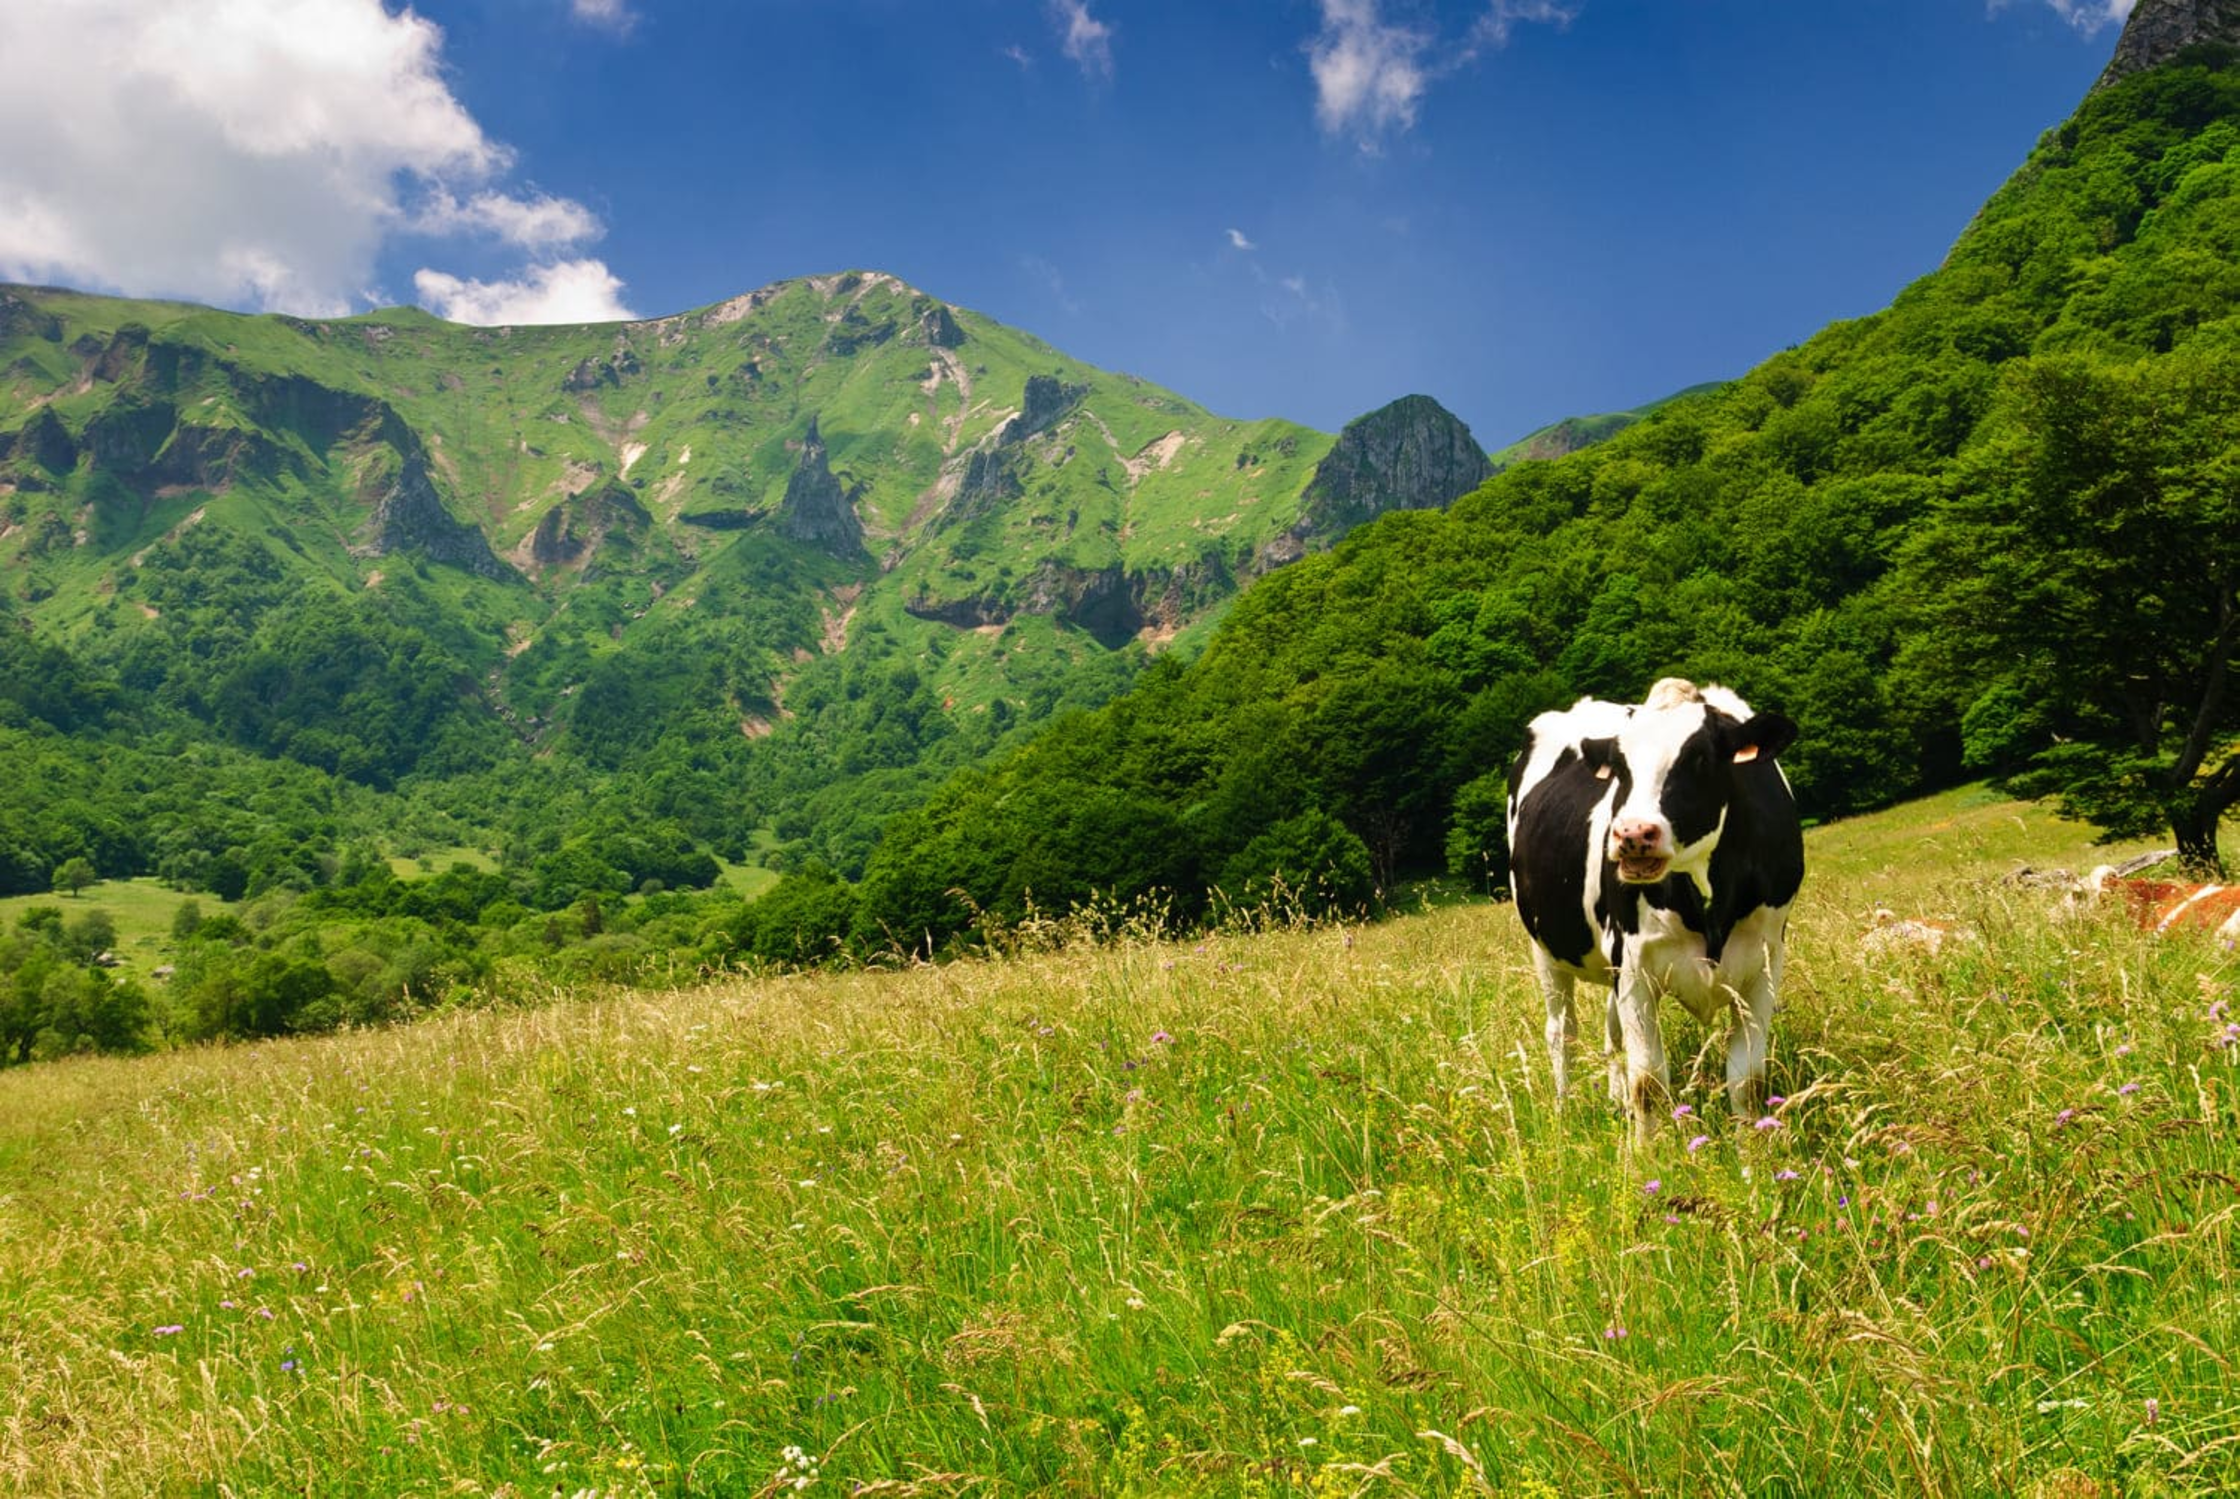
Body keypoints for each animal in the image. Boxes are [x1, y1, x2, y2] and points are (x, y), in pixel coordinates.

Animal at [1505, 672, 1800, 1138]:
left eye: (1700, 758)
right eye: (1621, 768)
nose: (1632, 834)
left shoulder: (1766, 962)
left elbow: (1747, 1080)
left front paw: (1750, 1145)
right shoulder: (1635, 965)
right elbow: (1648, 1082)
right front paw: (1650, 1153)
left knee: (1611, 1033)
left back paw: (1614, 1100)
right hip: (1545, 948)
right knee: (1561, 1032)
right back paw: (1564, 1110)